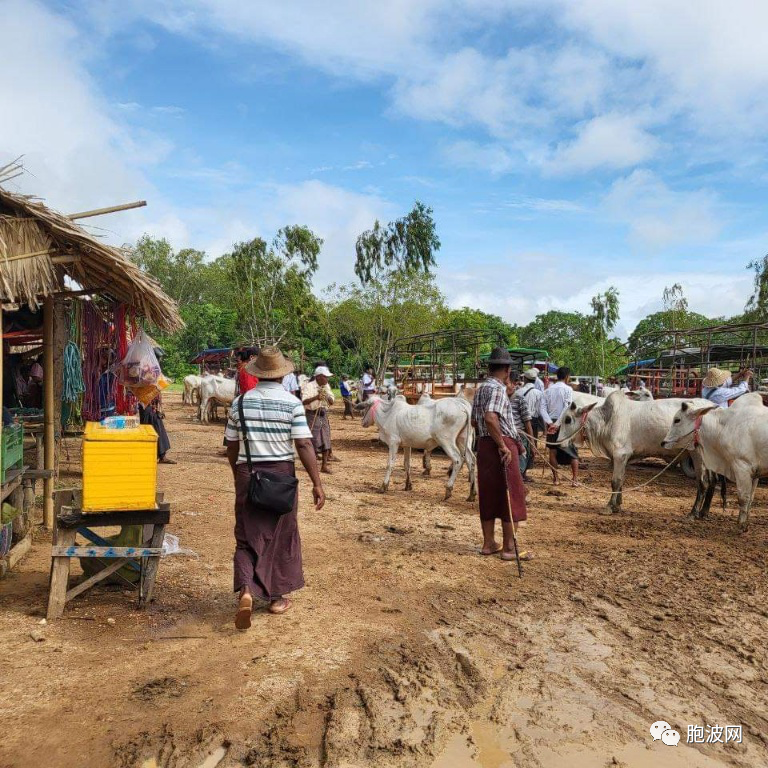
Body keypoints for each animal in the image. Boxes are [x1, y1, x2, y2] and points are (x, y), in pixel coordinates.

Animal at [552, 390, 708, 516]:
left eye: (568, 419)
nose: (558, 442)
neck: (607, 420)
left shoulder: (620, 455)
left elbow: (615, 481)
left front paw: (609, 507)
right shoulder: (620, 458)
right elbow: (621, 480)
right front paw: (617, 506)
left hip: (698, 455)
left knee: (702, 483)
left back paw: (694, 513)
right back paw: (703, 512)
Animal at [664, 392, 764, 532]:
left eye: (677, 419)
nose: (663, 442)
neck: (725, 426)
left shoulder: (742, 467)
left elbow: (743, 498)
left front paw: (741, 526)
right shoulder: (755, 472)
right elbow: (751, 498)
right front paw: (746, 524)